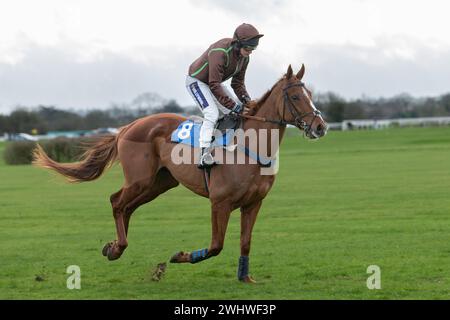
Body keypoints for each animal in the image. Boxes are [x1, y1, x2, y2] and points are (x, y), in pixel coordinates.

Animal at [31, 64, 326, 282]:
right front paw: (179, 256)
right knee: (116, 202)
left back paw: (114, 246)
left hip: (158, 184)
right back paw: (118, 248)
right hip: (140, 180)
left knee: (127, 207)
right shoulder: (220, 202)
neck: (248, 146)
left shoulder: (253, 203)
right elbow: (216, 245)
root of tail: (127, 127)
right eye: (296, 96)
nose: (320, 126)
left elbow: (245, 242)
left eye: (311, 94)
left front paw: (245, 278)